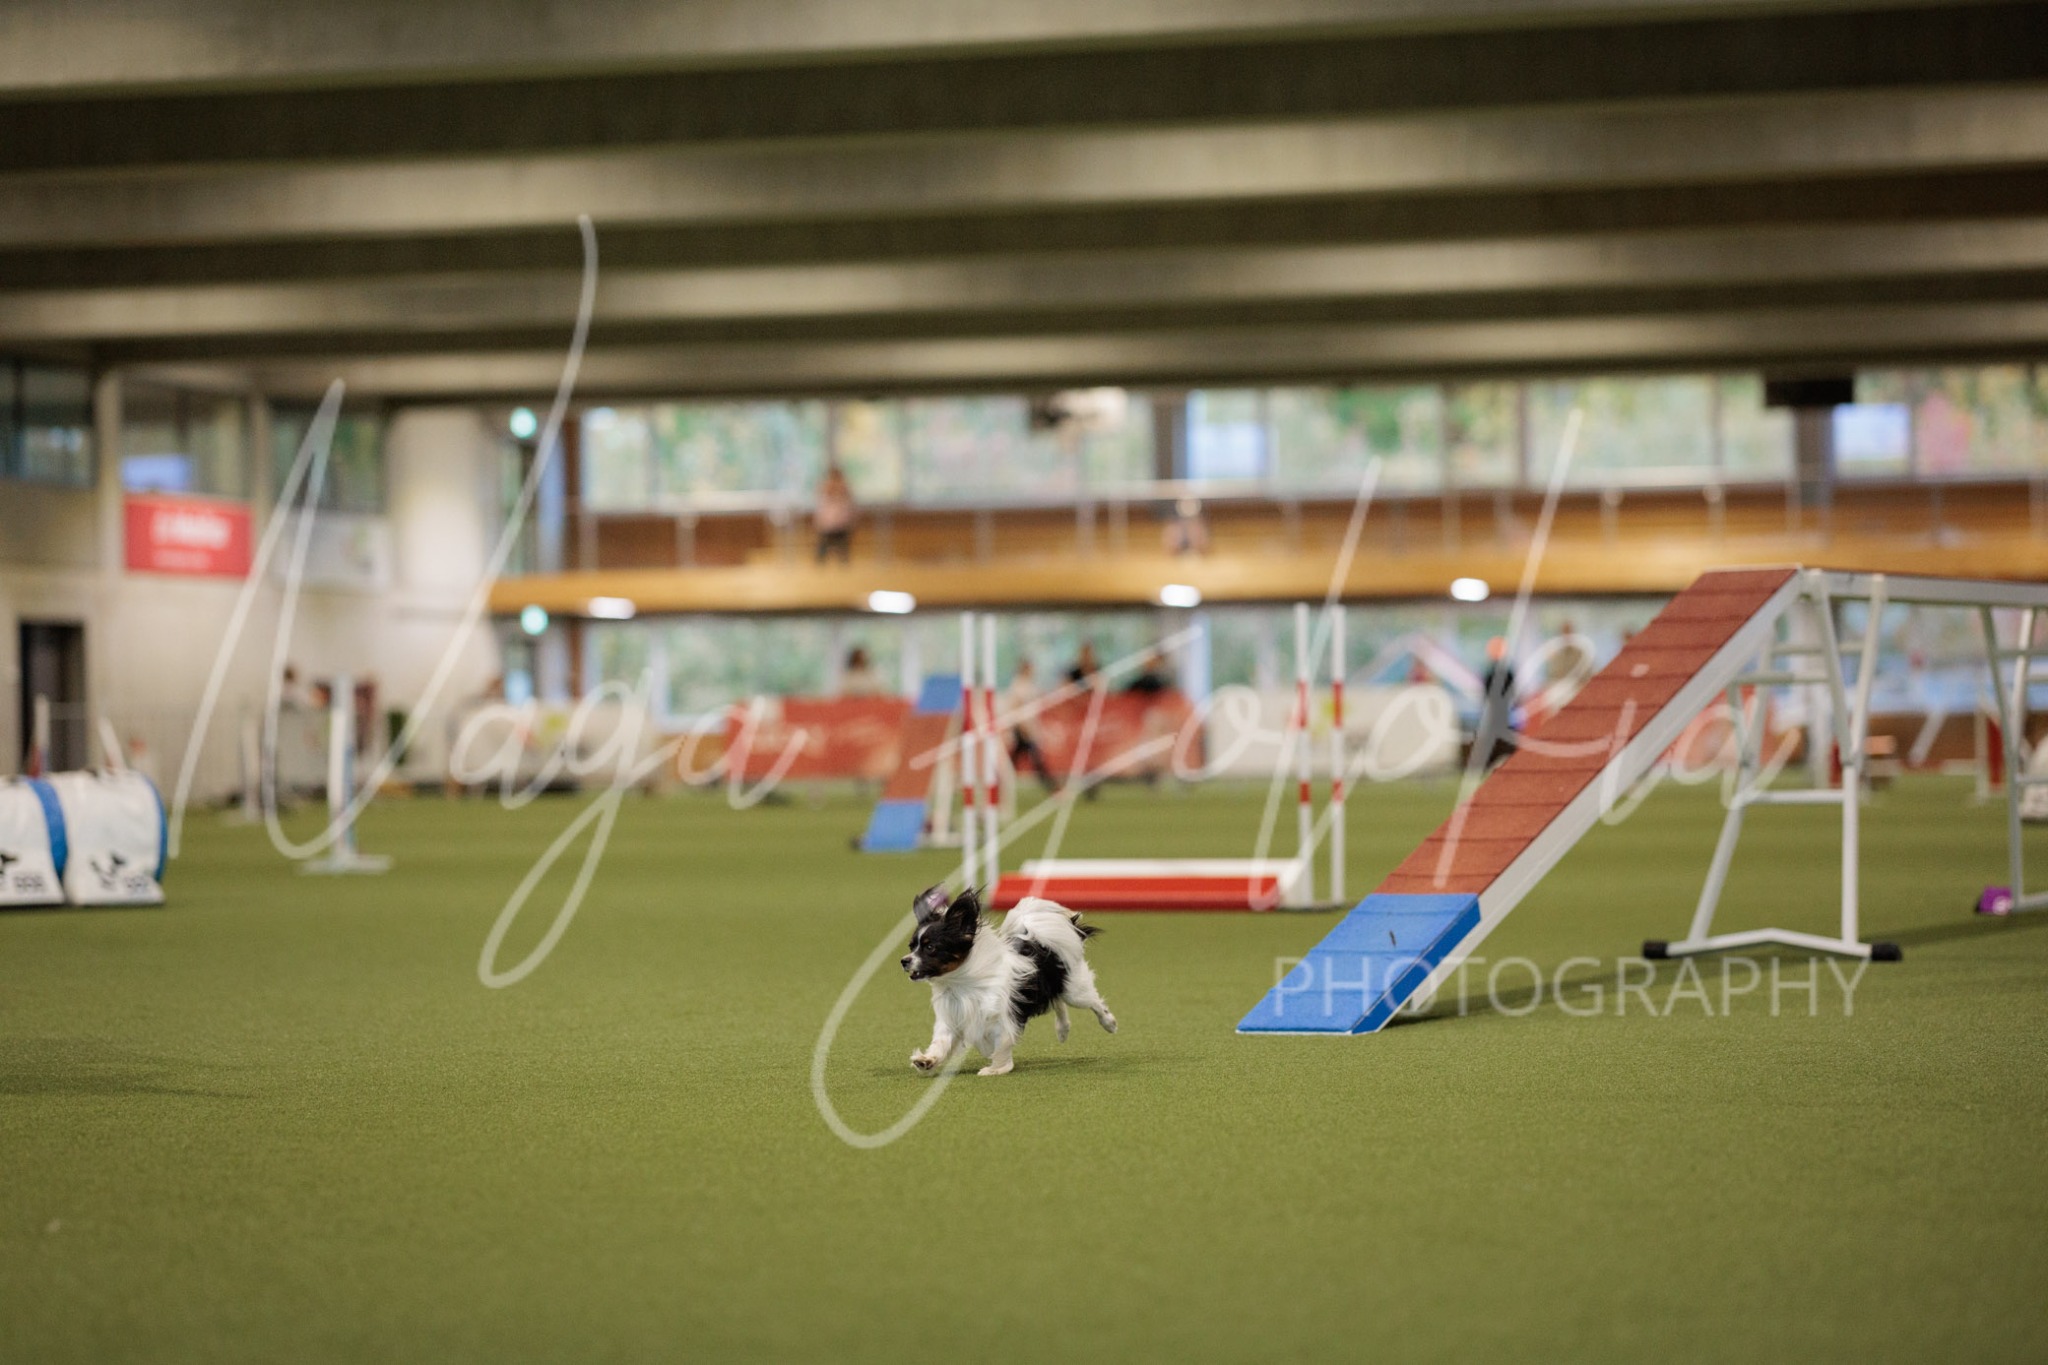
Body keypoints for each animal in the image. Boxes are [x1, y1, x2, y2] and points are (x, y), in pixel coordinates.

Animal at [900, 883, 1116, 1077]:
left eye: (930, 948)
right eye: (912, 947)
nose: (904, 961)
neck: (959, 983)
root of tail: (1041, 940)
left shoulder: (1002, 1017)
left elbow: (1002, 1044)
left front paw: (997, 1068)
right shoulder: (952, 1016)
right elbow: (940, 1043)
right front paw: (926, 1061)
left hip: (1074, 991)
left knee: (1093, 1001)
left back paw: (1109, 1022)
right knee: (1057, 1001)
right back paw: (1063, 1029)